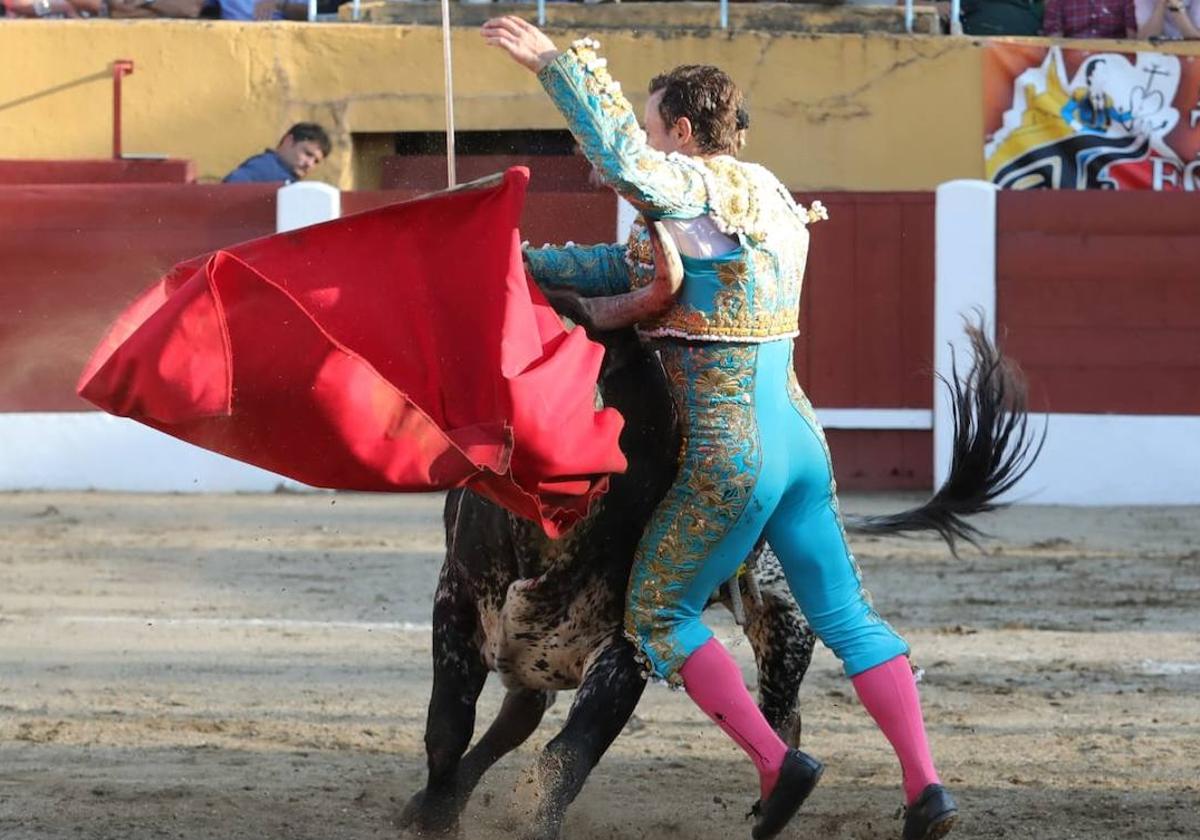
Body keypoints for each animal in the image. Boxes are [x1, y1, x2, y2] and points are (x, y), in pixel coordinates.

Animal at [398, 321, 1036, 840]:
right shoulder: (454, 601)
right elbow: (447, 726)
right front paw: (434, 817)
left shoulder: (626, 649)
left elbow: (570, 754)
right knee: (517, 714)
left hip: (785, 628)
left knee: (785, 715)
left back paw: (777, 803)